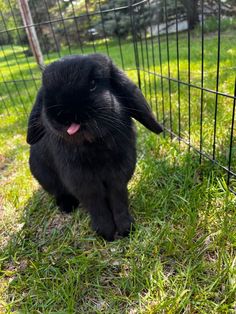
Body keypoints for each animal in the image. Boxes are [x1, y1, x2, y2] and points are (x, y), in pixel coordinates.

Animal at [26, 54, 162, 240]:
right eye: (46, 90)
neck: (93, 144)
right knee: (59, 192)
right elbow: (95, 201)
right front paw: (105, 232)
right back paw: (67, 206)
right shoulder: (81, 178)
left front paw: (126, 228)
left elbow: (118, 197)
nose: (62, 116)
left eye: (93, 84)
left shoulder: (119, 173)